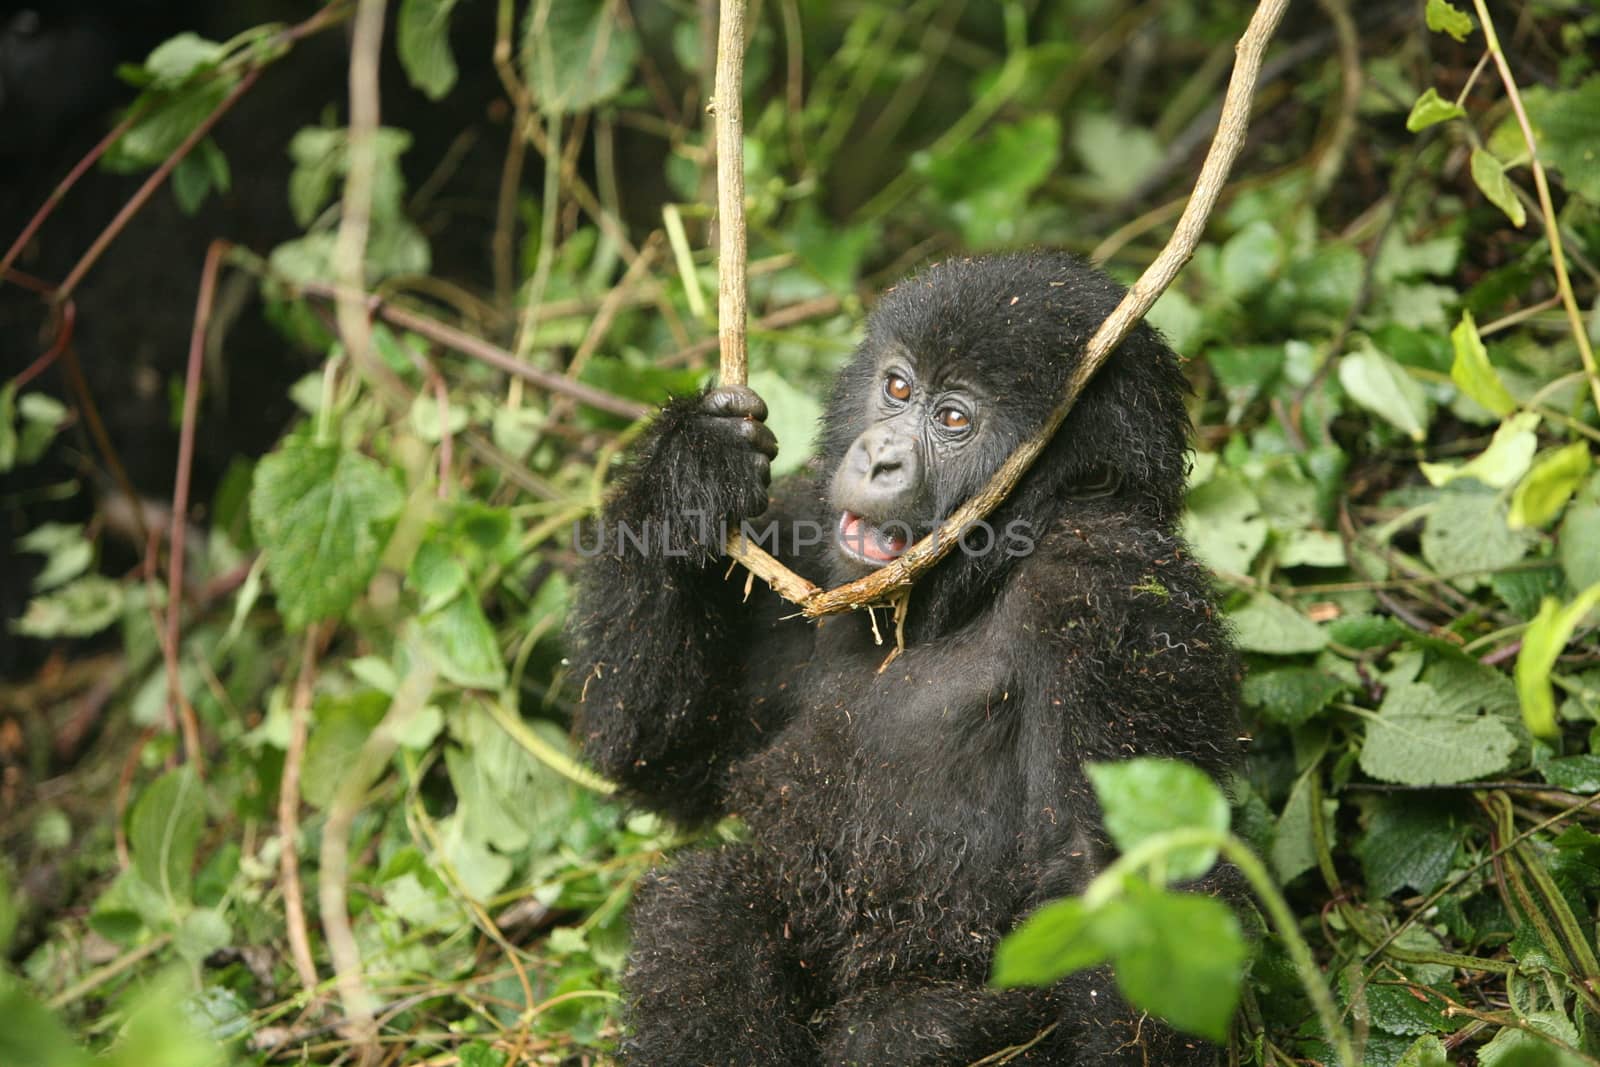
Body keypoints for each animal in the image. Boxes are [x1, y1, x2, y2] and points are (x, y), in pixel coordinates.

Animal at [569, 251, 1241, 1062]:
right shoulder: (802, 528)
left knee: (906, 1032)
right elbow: (670, 756)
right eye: (896, 388)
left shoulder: (1107, 583)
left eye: (953, 420)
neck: (963, 595)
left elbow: (1121, 870)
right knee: (702, 912)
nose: (878, 457)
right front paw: (688, 471)